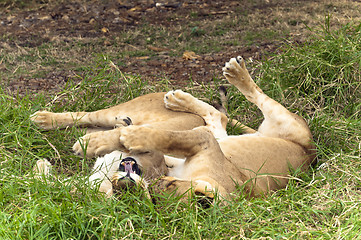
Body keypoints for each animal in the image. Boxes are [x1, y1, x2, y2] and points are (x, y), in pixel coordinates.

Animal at [31, 56, 314, 202]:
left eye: (153, 197)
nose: (128, 182)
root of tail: (309, 151)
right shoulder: (203, 143)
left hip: (282, 124)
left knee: (224, 113)